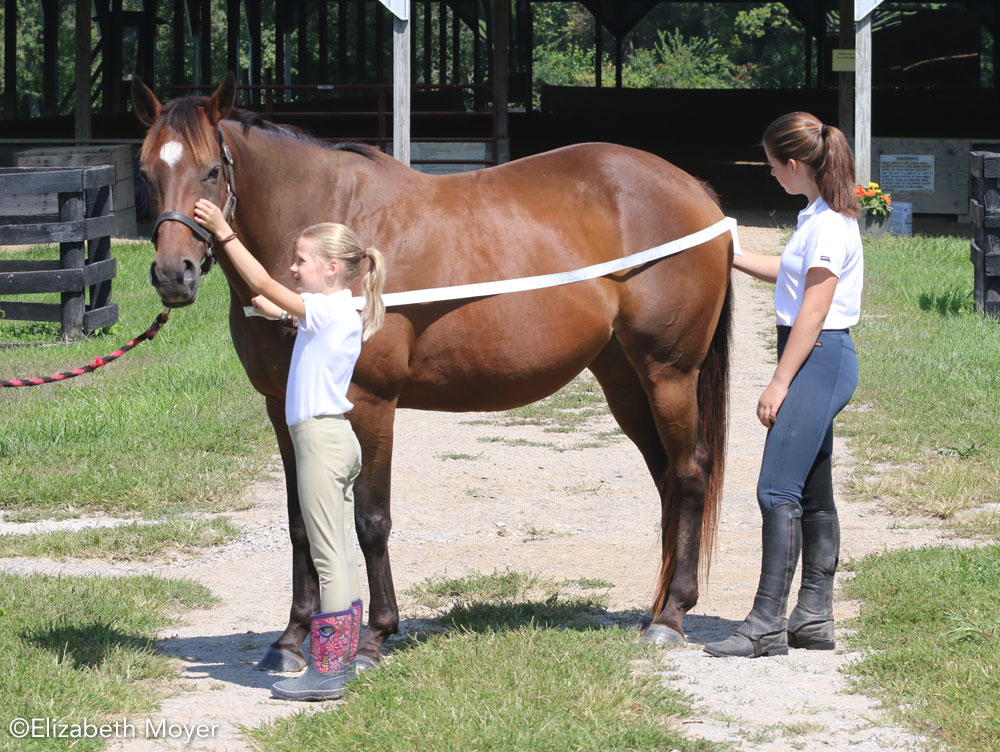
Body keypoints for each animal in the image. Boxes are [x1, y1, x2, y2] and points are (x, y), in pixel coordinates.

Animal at [131, 76, 736, 668]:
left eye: (212, 170)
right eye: (146, 172)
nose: (173, 275)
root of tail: (696, 192)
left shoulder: (372, 404)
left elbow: (371, 520)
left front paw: (375, 637)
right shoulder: (284, 408)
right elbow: (300, 521)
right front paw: (290, 641)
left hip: (668, 373)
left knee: (689, 472)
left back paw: (671, 617)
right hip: (624, 379)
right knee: (665, 477)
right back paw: (655, 609)